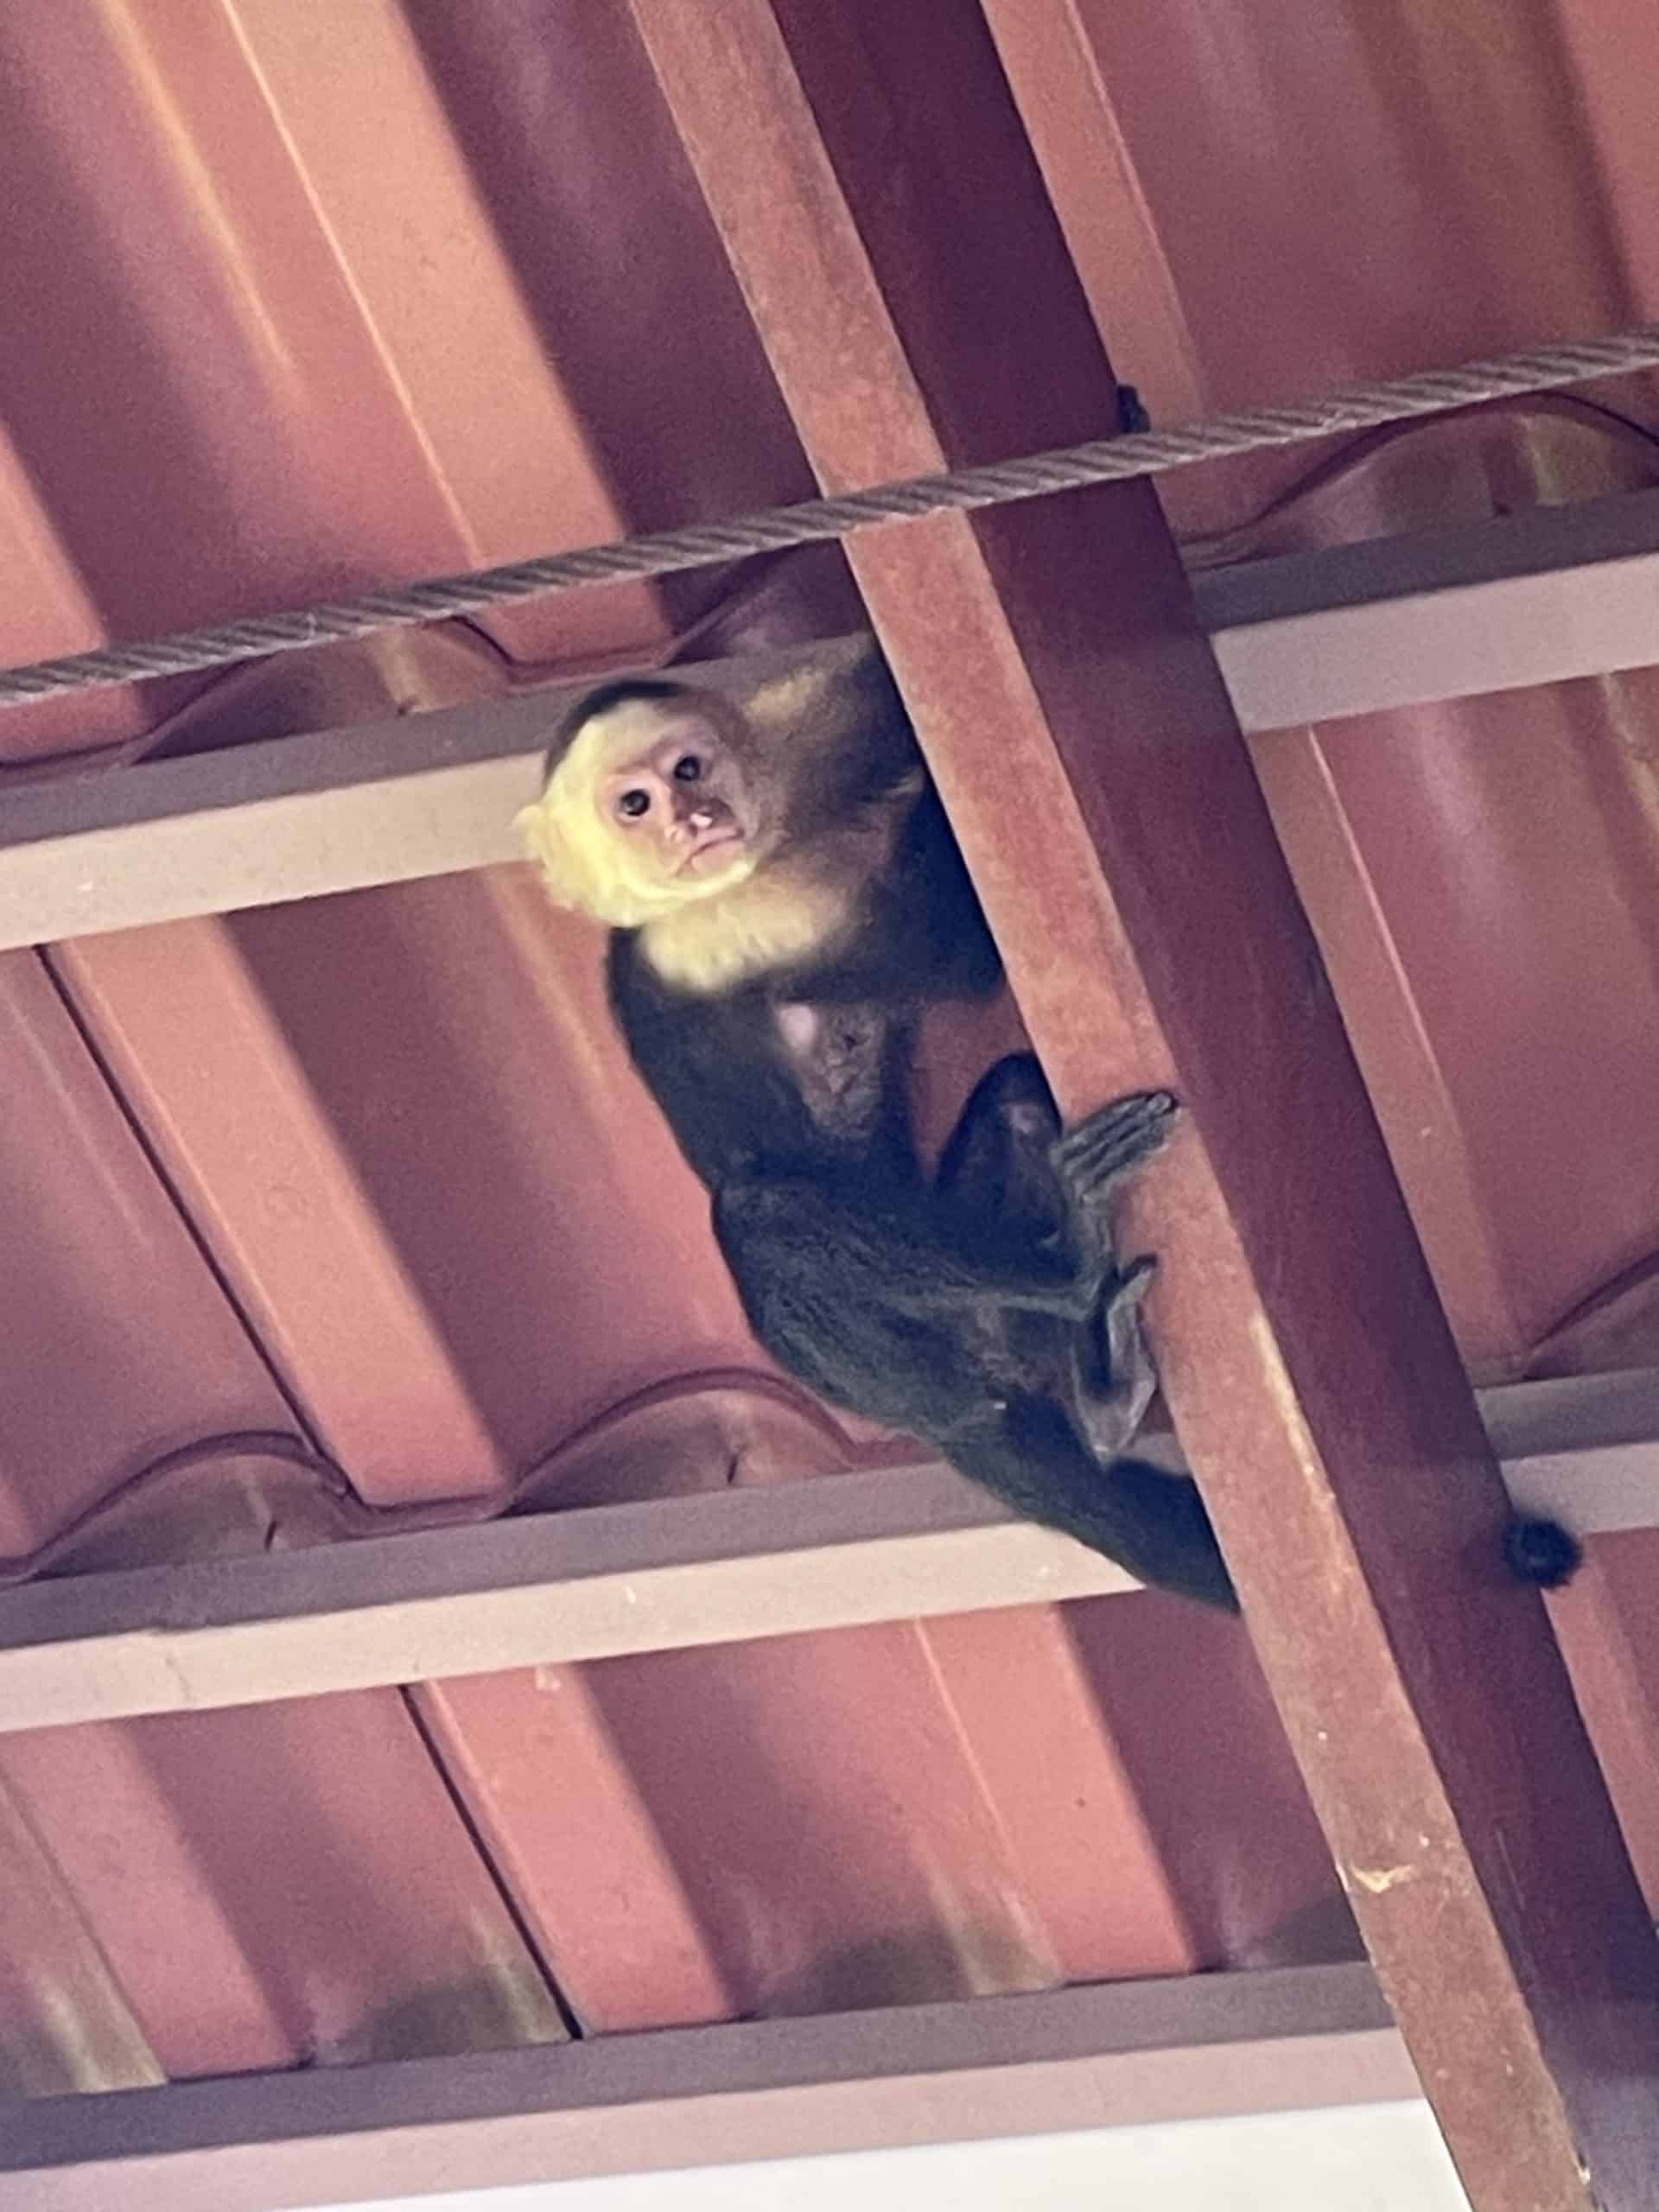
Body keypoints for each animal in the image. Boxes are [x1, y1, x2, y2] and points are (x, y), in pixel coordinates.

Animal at [517, 642, 1236, 1607]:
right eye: (635, 805)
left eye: (688, 768)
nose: (693, 820)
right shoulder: (728, 925)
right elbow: (950, 953)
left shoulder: (800, 740)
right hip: (874, 1371)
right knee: (763, 1219)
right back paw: (1070, 1266)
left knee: (1014, 1093)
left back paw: (1101, 1386)